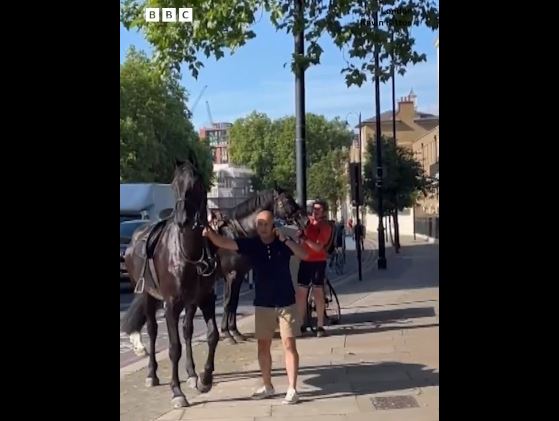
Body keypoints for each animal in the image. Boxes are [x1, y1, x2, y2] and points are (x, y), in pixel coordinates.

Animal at [124, 160, 219, 406]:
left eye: (196, 184)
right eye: (174, 185)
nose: (182, 219)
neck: (189, 252)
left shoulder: (205, 298)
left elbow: (211, 335)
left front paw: (205, 378)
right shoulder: (170, 304)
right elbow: (174, 346)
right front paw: (177, 392)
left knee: (187, 331)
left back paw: (192, 374)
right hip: (148, 296)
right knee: (152, 330)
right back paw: (152, 374)